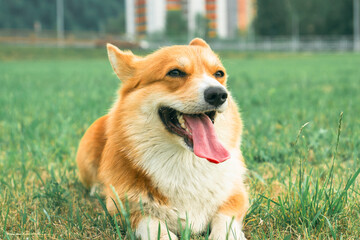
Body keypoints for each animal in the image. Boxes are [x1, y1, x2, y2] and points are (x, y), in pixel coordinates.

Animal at [77, 38, 249, 239]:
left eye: (219, 73)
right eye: (175, 72)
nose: (218, 94)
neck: (186, 163)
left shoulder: (236, 196)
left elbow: (225, 221)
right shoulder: (126, 209)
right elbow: (154, 225)